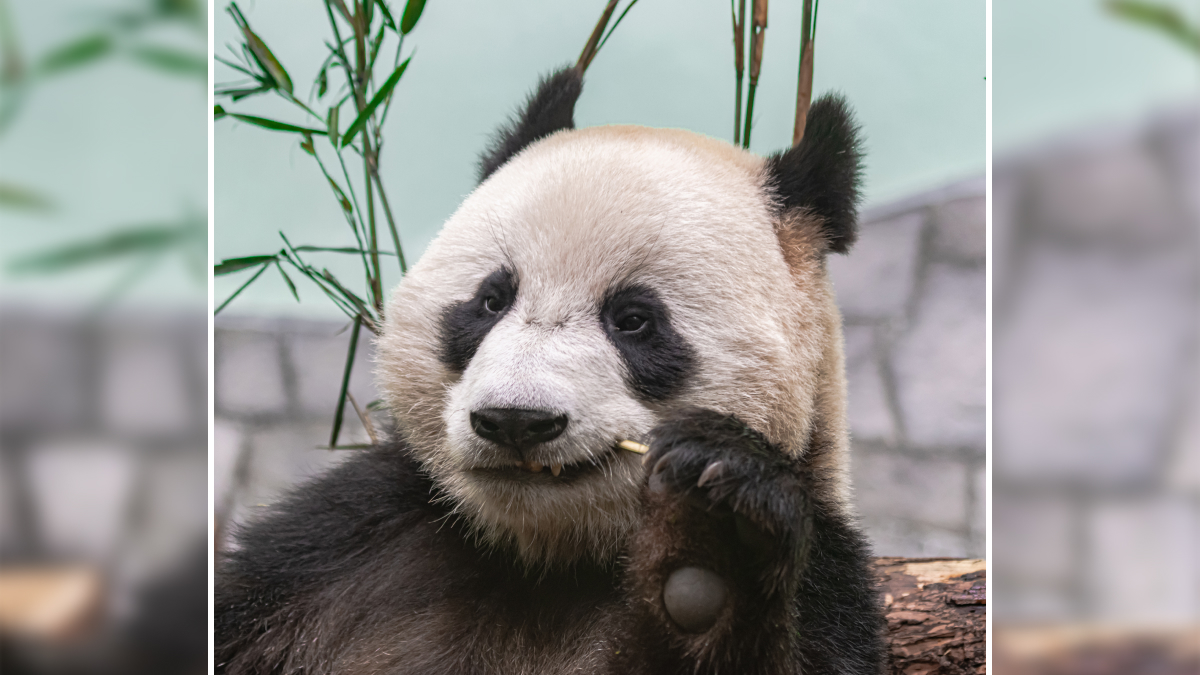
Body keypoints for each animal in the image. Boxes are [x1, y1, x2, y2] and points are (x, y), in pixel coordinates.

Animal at [216, 67, 885, 675]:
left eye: (634, 320)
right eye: (491, 300)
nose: (515, 420)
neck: (544, 557)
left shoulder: (828, 579)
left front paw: (715, 539)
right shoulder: (333, 549)